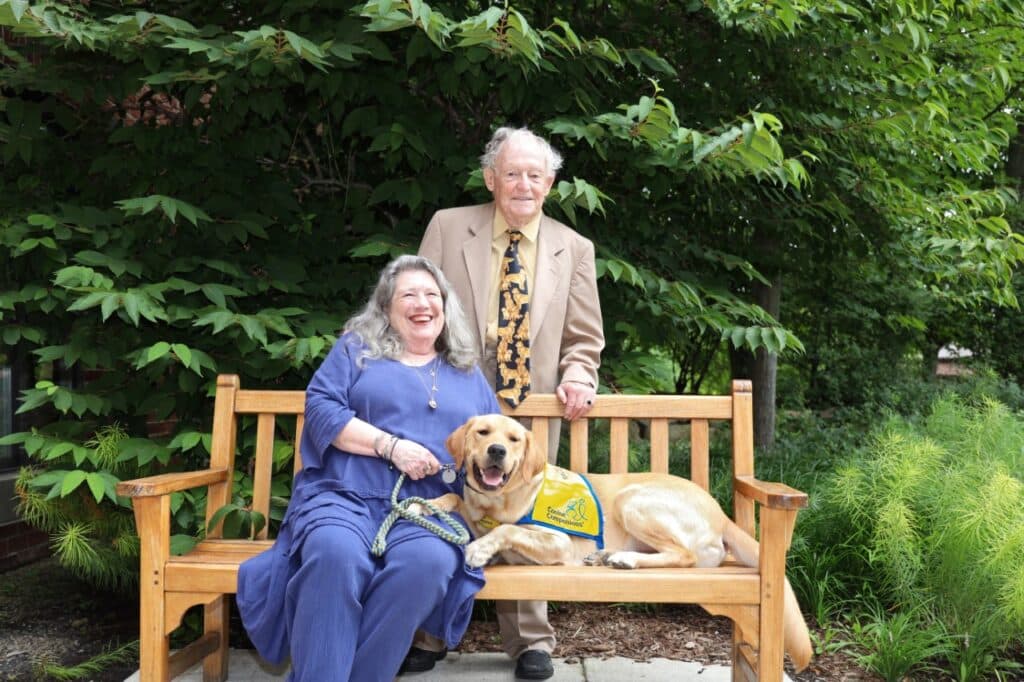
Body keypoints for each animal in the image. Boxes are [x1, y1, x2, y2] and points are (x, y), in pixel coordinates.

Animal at [419, 411, 811, 671]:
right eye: (482, 432)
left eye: (514, 440)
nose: (497, 450)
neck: (498, 501)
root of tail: (723, 513)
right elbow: (455, 499)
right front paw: (428, 505)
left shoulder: (558, 542)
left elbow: (507, 530)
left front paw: (480, 548)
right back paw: (606, 556)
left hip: (632, 499)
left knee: (682, 555)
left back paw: (624, 560)